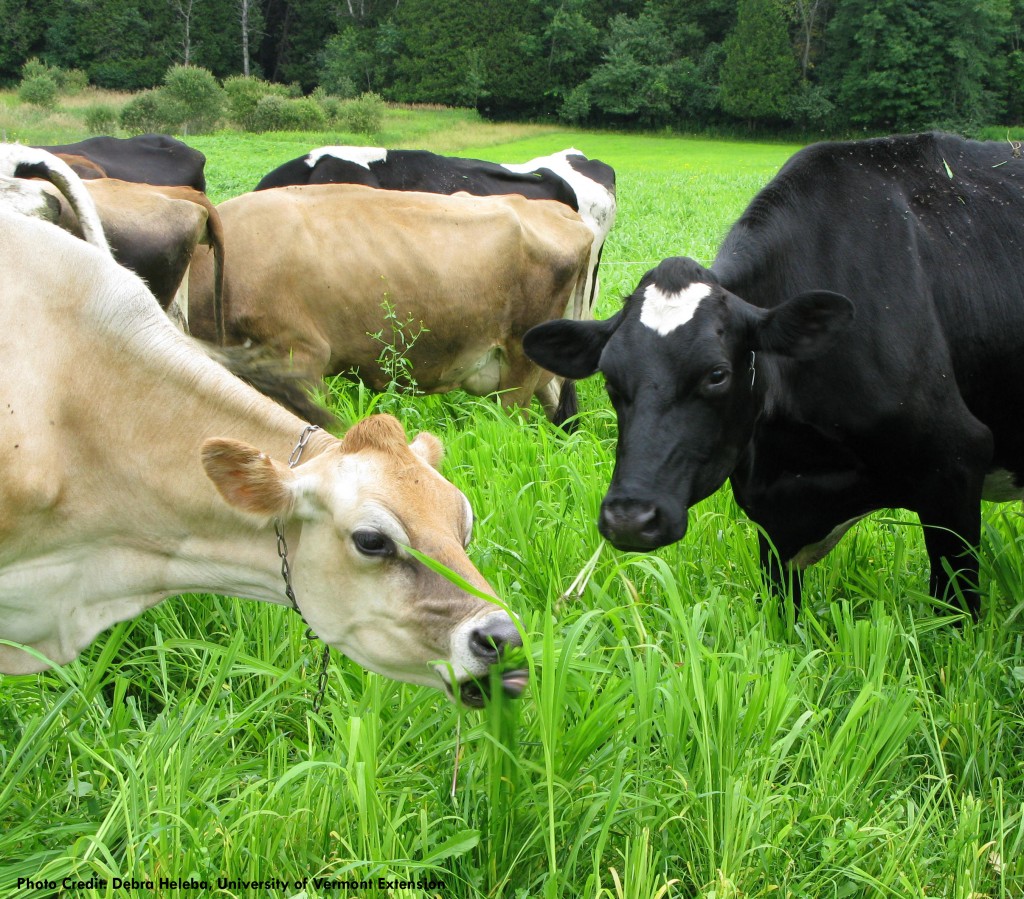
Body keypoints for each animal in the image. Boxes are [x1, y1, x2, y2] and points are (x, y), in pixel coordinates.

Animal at [524, 132, 1024, 619]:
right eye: (610, 378)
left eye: (717, 374)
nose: (629, 518)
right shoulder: (773, 517)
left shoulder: (955, 465)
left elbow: (955, 615)